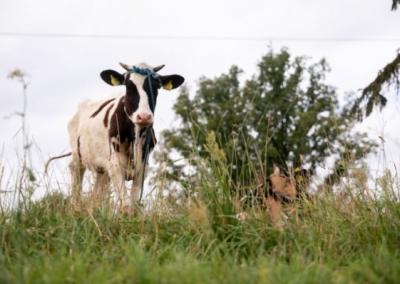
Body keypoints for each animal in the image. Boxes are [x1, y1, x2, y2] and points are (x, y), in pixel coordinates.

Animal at [47, 63, 184, 211]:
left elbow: (134, 204)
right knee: (76, 186)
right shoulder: (115, 165)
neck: (135, 138)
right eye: (128, 86)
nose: (144, 117)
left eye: (156, 86)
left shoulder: (142, 167)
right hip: (78, 159)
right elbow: (125, 206)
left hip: (103, 170)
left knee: (97, 195)